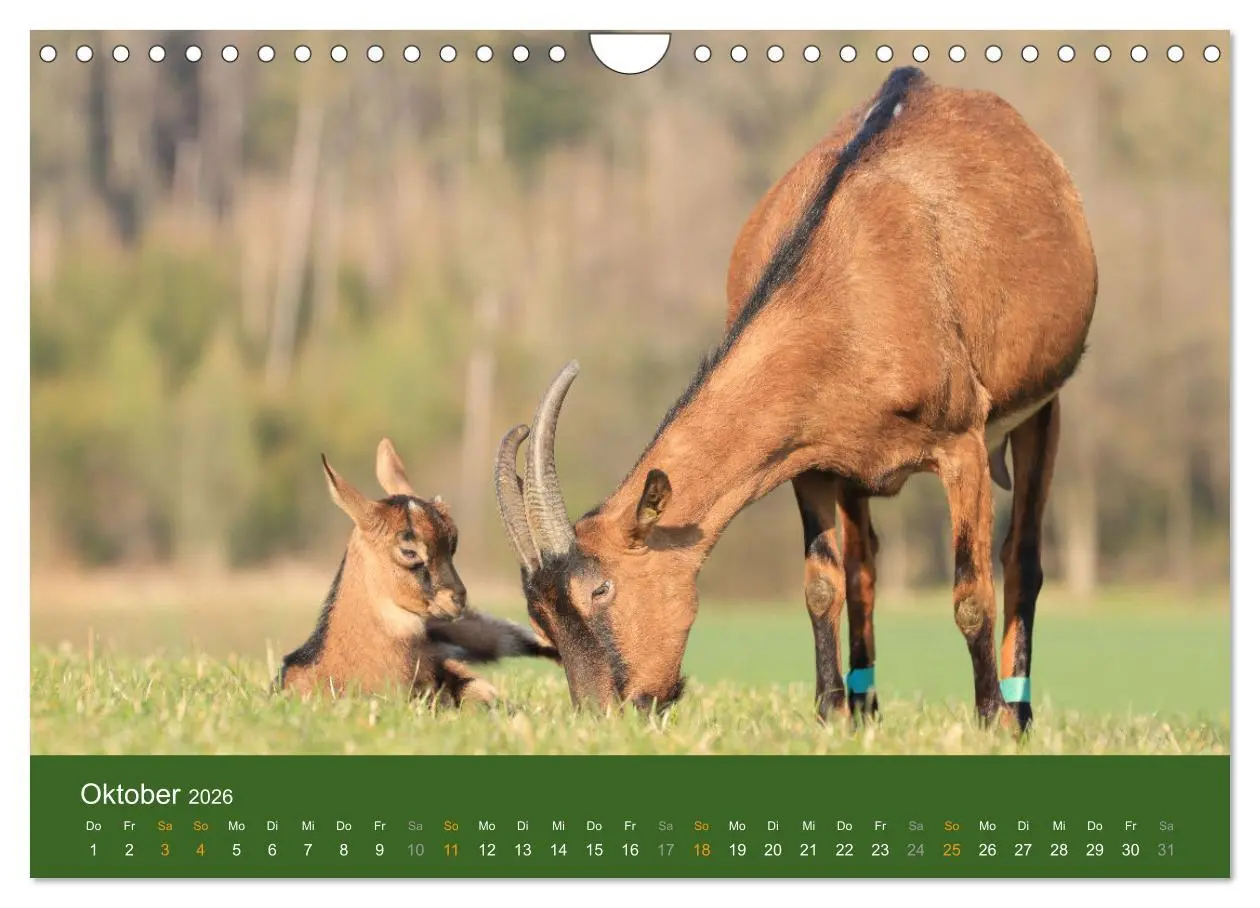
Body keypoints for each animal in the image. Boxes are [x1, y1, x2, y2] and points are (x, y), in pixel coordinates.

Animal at [494, 67, 1097, 731]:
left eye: (601, 589)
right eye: (540, 618)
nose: (604, 716)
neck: (849, 289)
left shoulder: (961, 443)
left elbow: (971, 591)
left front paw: (989, 717)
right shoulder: (808, 458)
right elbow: (821, 585)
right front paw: (830, 711)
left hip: (1041, 408)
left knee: (1023, 558)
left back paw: (1020, 711)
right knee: (864, 568)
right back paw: (865, 705)